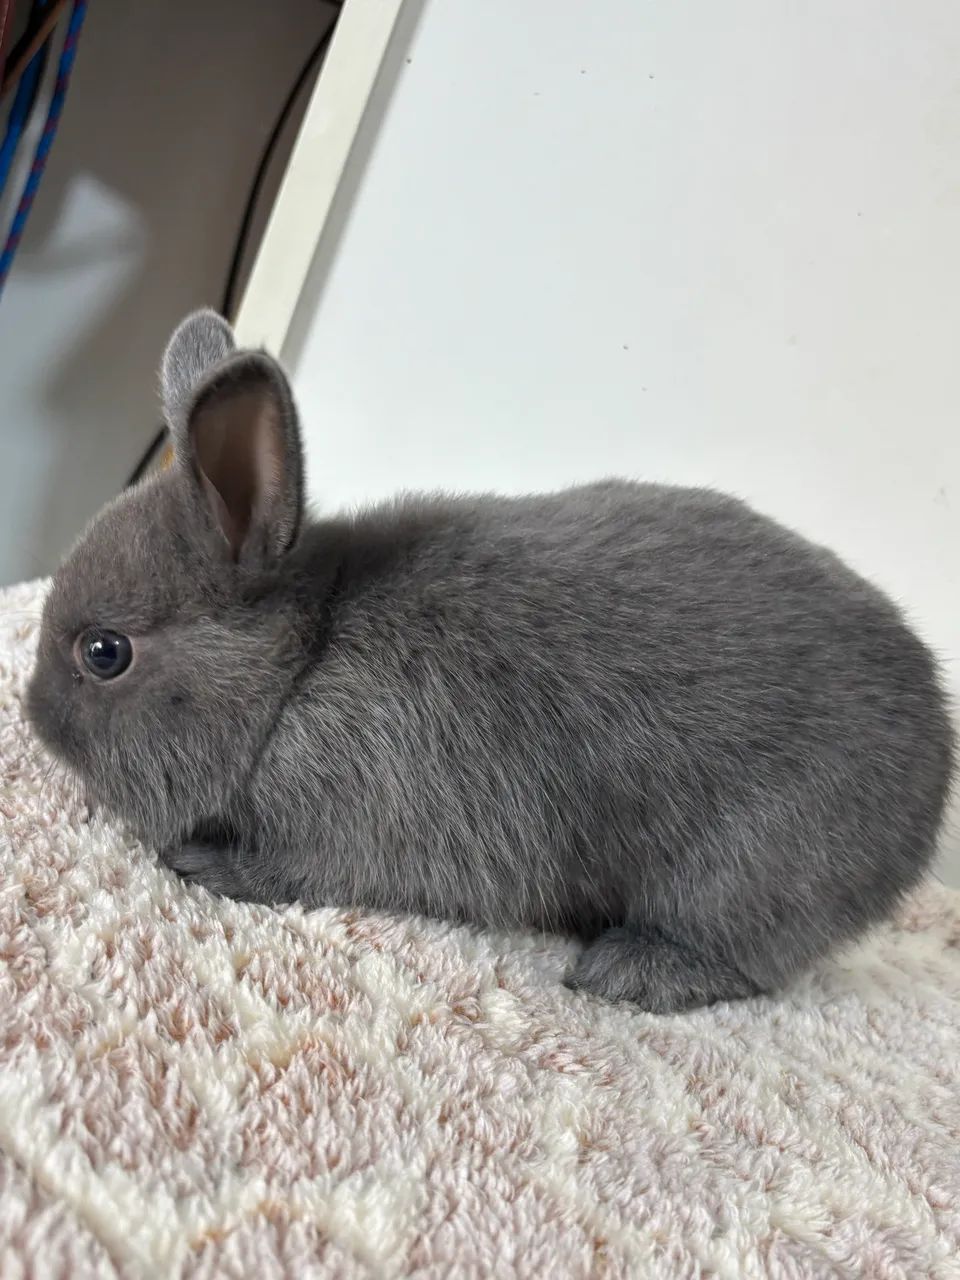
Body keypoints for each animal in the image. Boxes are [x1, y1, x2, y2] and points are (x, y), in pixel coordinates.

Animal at [25, 309, 955, 1013]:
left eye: (104, 653)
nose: (33, 715)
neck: (300, 669)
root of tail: (935, 765)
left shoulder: (353, 818)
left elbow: (284, 869)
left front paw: (199, 863)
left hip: (743, 876)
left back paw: (623, 969)